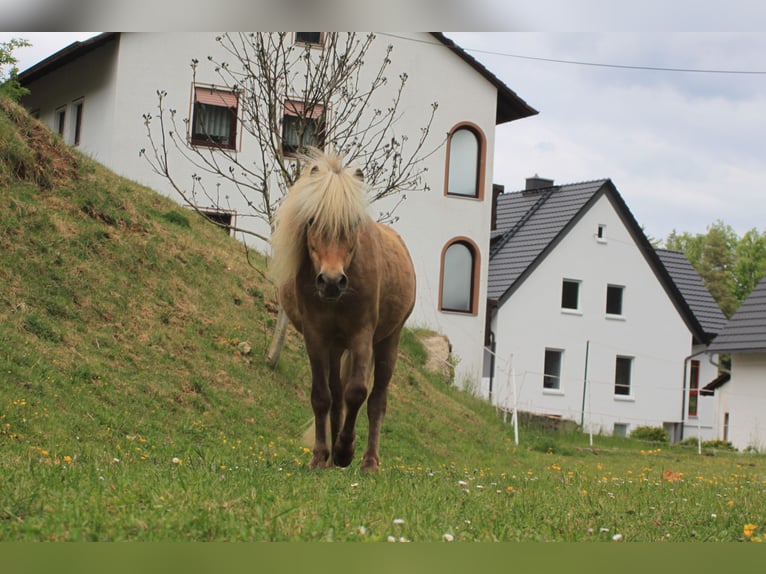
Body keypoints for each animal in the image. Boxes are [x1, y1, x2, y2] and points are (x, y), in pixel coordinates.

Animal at [270, 150, 416, 473]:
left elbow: (357, 393)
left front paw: (346, 451)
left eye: (353, 223)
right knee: (336, 397)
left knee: (376, 401)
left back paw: (368, 461)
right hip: (335, 348)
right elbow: (322, 397)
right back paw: (330, 458)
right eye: (312, 219)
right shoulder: (315, 338)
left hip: (387, 342)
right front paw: (321, 455)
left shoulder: (362, 336)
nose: (332, 281)